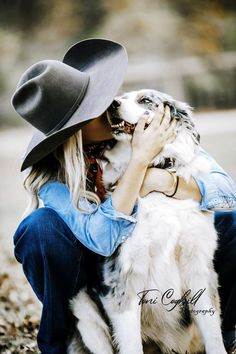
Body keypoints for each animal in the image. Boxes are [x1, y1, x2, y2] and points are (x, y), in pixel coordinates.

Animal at [68, 89, 227, 354]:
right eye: (121, 97)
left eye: (144, 100)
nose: (112, 104)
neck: (153, 168)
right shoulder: (124, 274)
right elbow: (131, 342)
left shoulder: (198, 264)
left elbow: (214, 333)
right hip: (83, 308)